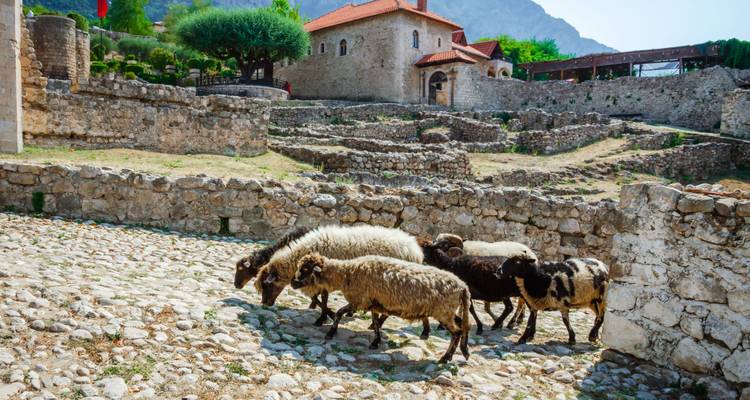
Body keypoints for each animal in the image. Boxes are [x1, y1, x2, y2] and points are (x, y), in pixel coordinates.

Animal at [253, 225, 430, 334]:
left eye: (266, 284)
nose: (265, 303)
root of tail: (416, 250)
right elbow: (318, 299)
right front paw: (327, 315)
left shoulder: (322, 279)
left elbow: (321, 298)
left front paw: (324, 317)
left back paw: (375, 324)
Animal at [291, 253, 471, 364]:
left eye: (305, 269)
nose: (293, 283)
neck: (346, 274)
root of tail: (463, 286)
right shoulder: (374, 304)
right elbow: (376, 324)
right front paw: (375, 342)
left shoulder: (359, 300)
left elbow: (340, 313)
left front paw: (330, 333)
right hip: (449, 311)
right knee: (463, 324)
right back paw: (462, 351)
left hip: (443, 311)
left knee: (457, 332)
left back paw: (446, 358)